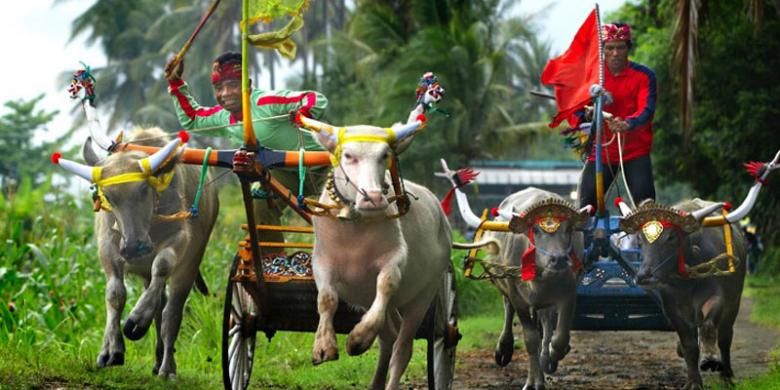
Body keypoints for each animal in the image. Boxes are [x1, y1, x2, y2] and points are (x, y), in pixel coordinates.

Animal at [52, 128, 218, 378]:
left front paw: (137, 321)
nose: (133, 247)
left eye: (143, 189)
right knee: (159, 302)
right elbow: (115, 294)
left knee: (172, 311)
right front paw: (112, 350)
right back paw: (152, 359)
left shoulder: (180, 238)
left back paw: (166, 366)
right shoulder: (108, 246)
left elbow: (163, 265)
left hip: (191, 263)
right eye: (108, 196)